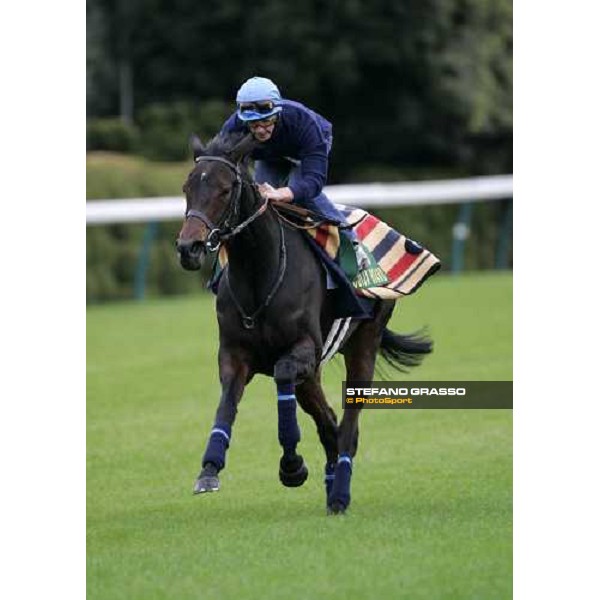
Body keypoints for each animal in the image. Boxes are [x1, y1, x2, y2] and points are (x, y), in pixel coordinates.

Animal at [173, 132, 432, 516]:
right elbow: (227, 402)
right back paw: (331, 482)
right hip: (312, 375)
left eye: (224, 189)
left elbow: (282, 376)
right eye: (188, 186)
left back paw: (339, 493)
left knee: (348, 427)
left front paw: (292, 466)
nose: (188, 248)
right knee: (328, 422)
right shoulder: (235, 353)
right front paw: (209, 468)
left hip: (364, 344)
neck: (259, 274)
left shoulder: (303, 350)